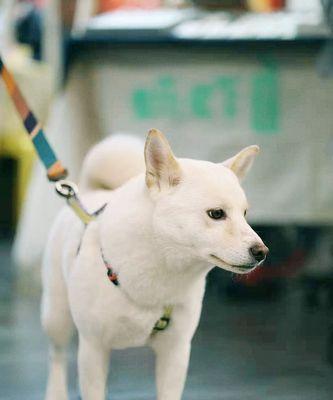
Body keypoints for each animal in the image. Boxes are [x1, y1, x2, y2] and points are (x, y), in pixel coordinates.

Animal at [40, 129, 268, 400]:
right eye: (216, 214)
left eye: (244, 214)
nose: (262, 252)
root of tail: (88, 191)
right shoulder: (93, 348)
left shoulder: (176, 351)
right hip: (57, 317)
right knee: (56, 356)